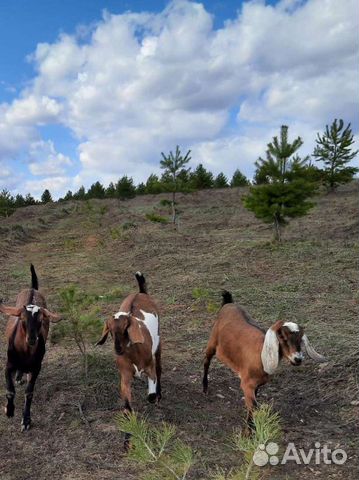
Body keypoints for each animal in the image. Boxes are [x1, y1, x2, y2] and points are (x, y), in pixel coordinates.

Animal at [0, 264, 60, 434]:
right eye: (22, 319)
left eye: (41, 320)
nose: (32, 339)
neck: (25, 352)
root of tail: (32, 288)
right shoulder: (8, 365)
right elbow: (10, 390)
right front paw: (9, 410)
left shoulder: (36, 368)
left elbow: (29, 392)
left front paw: (26, 420)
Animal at [96, 270, 162, 416]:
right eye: (110, 331)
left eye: (126, 328)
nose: (118, 349)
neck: (135, 354)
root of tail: (140, 292)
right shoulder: (125, 375)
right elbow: (126, 402)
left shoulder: (150, 367)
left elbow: (151, 395)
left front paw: (154, 396)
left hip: (159, 341)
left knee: (159, 367)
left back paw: (159, 393)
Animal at [204, 290, 328, 430]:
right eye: (283, 337)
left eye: (300, 339)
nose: (298, 359)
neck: (261, 354)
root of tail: (228, 304)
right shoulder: (246, 384)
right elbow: (254, 407)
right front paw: (250, 431)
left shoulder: (256, 385)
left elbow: (252, 406)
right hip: (212, 342)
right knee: (206, 360)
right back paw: (205, 387)